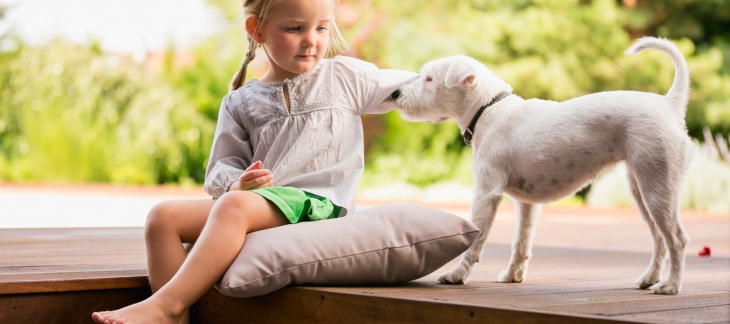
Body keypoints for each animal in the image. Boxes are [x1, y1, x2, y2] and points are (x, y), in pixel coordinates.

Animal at [390, 36, 692, 294]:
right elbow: (520, 241)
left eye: (429, 78)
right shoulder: (527, 204)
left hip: (657, 187)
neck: (488, 109)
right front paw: (513, 275)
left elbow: (474, 239)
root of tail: (670, 104)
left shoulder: (486, 194)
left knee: (677, 239)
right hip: (642, 190)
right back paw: (649, 279)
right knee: (659, 239)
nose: (394, 94)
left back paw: (670, 286)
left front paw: (456, 276)